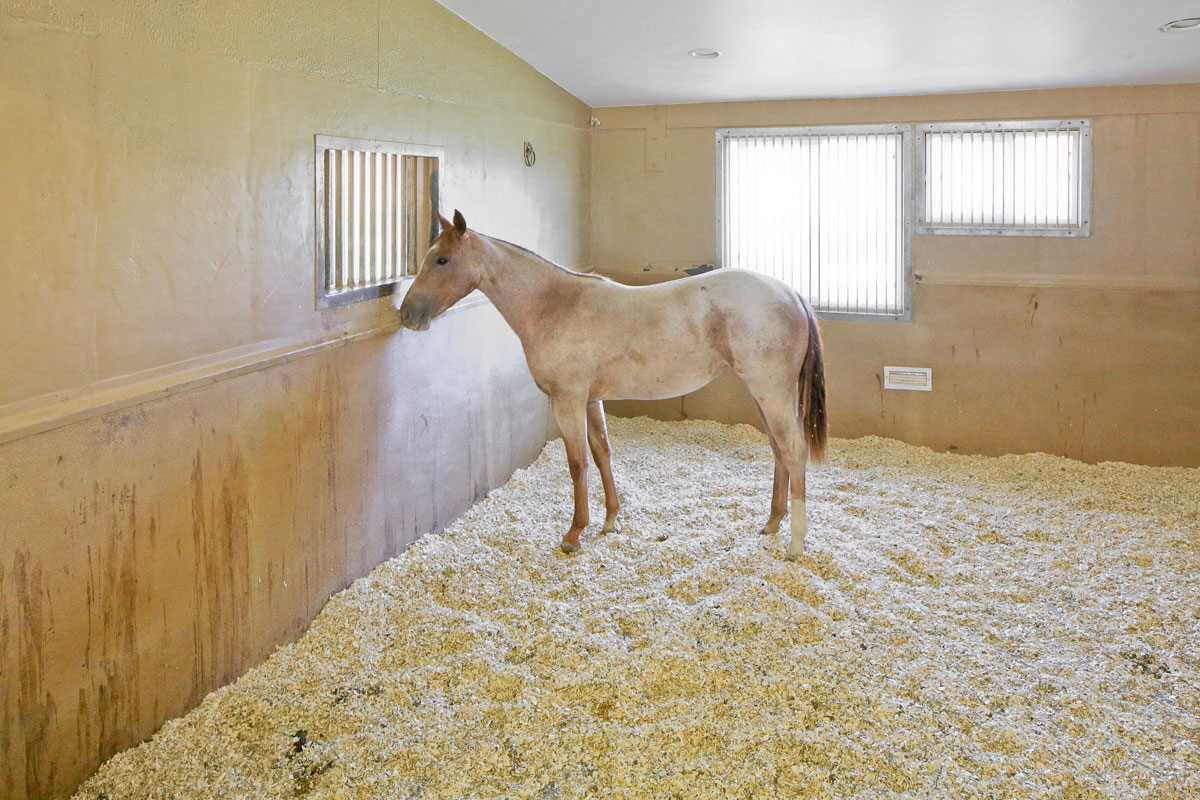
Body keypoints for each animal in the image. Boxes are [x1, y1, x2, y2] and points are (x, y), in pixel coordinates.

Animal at [398, 210, 826, 560]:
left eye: (442, 260)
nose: (407, 314)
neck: (555, 304)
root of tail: (790, 293)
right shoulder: (590, 401)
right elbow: (602, 452)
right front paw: (610, 521)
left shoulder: (567, 401)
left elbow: (577, 464)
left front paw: (573, 534)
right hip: (765, 395)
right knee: (779, 449)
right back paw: (772, 523)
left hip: (771, 392)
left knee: (793, 449)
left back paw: (795, 544)